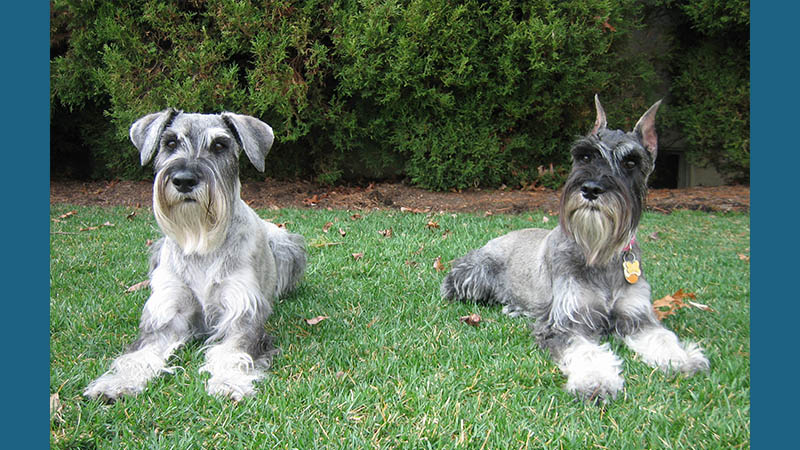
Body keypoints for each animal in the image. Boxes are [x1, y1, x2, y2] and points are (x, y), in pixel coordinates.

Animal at [83, 108, 304, 400]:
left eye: (220, 145)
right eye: (170, 143)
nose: (184, 180)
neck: (202, 242)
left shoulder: (241, 315)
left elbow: (232, 351)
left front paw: (228, 381)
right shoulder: (167, 314)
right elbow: (141, 354)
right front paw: (118, 383)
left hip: (286, 246)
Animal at [440, 95, 708, 400]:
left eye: (631, 161)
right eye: (585, 156)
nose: (591, 189)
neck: (599, 253)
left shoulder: (638, 317)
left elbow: (662, 336)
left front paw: (681, 358)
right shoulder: (567, 322)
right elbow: (585, 350)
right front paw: (596, 380)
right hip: (474, 276)